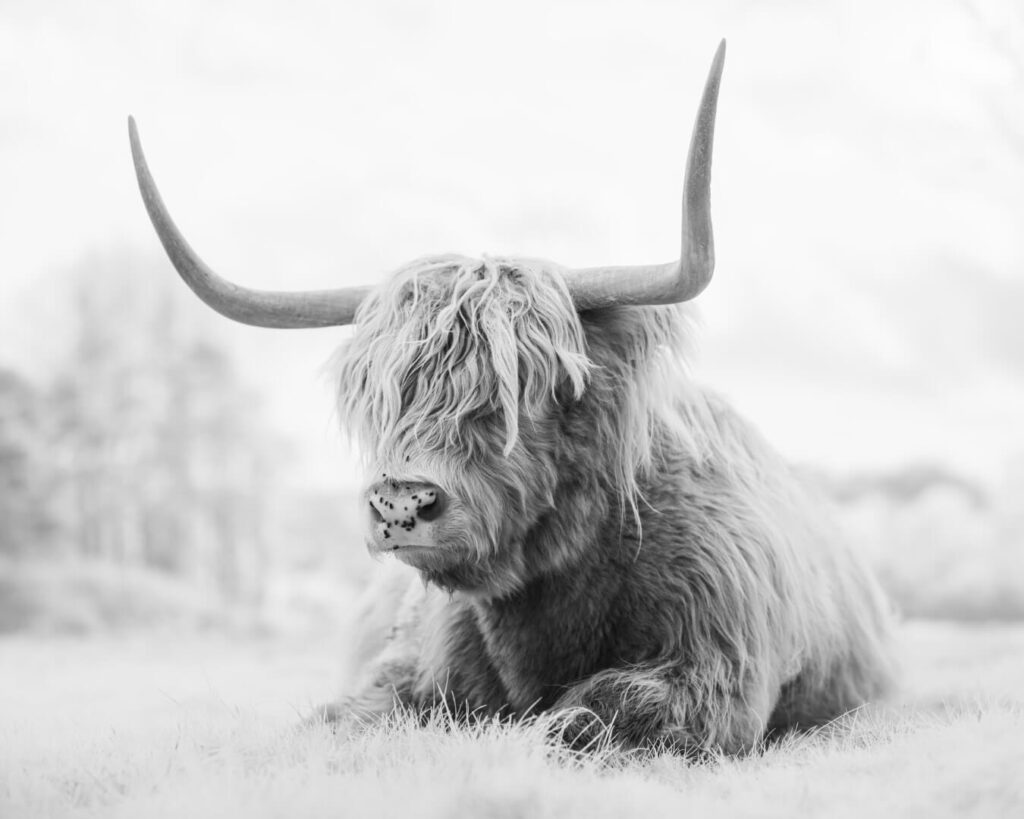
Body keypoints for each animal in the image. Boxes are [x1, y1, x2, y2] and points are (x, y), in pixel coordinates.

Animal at [128, 41, 895, 755]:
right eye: (387, 397)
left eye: (531, 390)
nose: (401, 504)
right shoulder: (403, 670)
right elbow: (335, 719)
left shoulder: (714, 673)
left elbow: (586, 712)